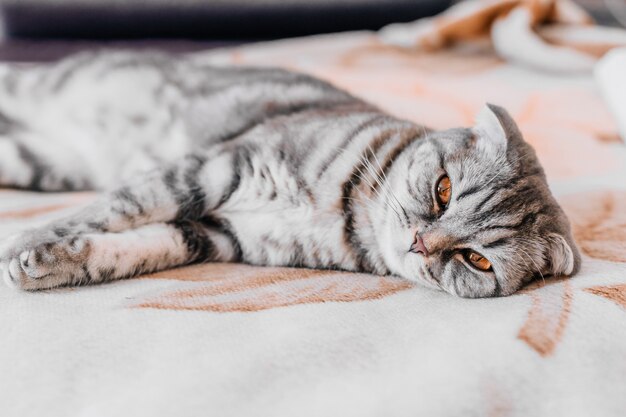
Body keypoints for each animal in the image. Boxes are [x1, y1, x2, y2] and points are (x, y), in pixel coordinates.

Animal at [0, 50, 580, 296]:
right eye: (443, 191)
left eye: (476, 260)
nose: (420, 242)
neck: (344, 218)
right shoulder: (216, 166)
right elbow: (118, 206)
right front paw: (27, 243)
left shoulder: (218, 236)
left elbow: (135, 247)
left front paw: (48, 265)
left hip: (39, 160)